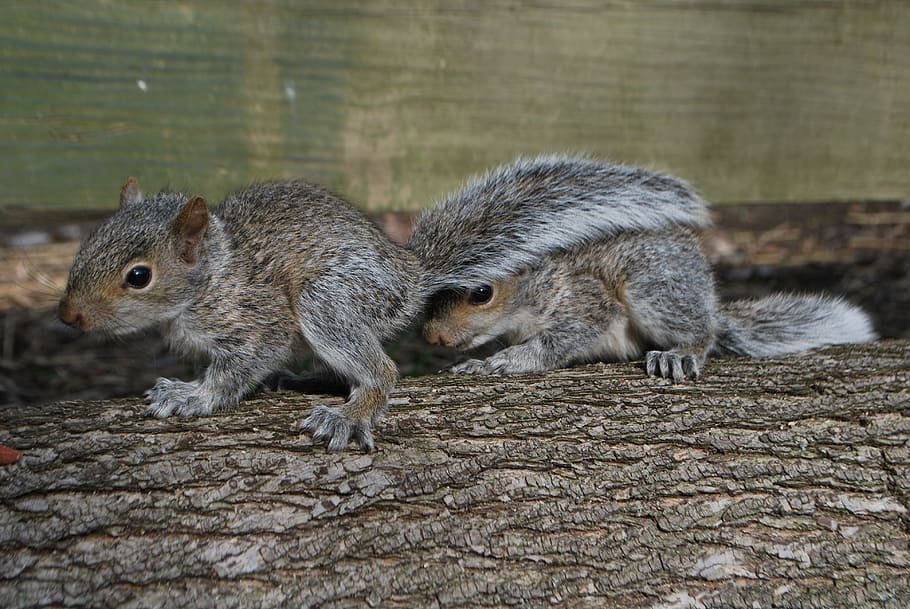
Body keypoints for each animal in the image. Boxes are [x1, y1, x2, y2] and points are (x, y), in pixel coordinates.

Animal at [59, 178, 423, 452]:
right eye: (89, 242)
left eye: (138, 276)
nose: (68, 315)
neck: (212, 279)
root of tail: (410, 276)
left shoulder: (259, 318)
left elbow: (232, 372)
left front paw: (191, 395)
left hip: (327, 299)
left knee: (382, 371)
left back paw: (350, 415)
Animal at [408, 154, 877, 379]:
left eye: (481, 293)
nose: (432, 337)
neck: (543, 285)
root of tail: (707, 299)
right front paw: (474, 361)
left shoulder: (587, 304)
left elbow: (560, 340)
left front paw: (505, 361)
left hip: (653, 290)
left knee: (701, 334)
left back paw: (680, 353)